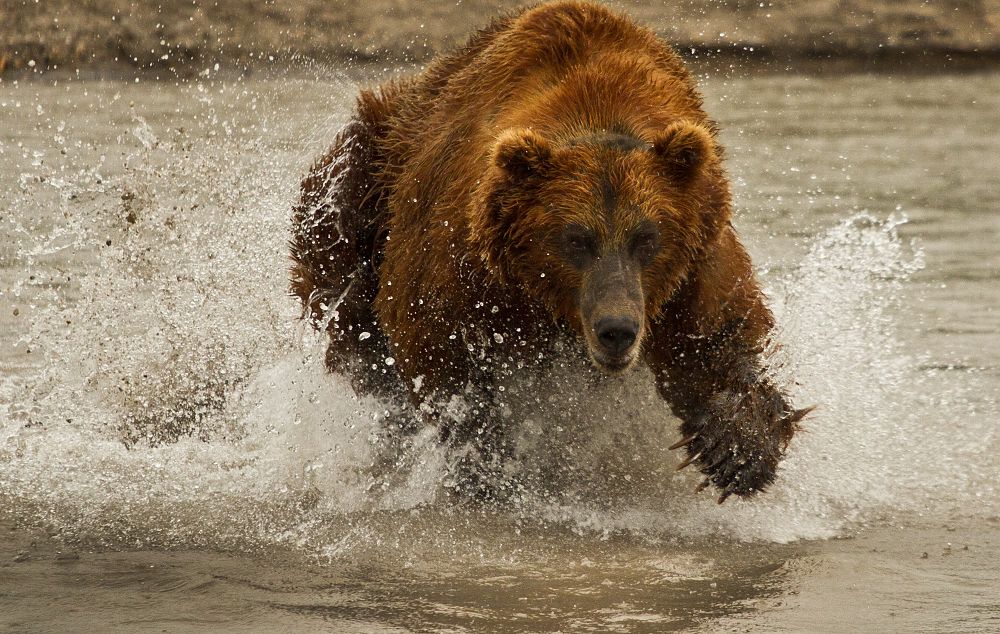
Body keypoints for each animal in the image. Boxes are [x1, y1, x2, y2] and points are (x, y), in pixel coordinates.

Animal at [290, 0, 811, 503]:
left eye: (647, 237)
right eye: (576, 238)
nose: (617, 330)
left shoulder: (691, 257)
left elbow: (715, 340)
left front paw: (737, 450)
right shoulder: (467, 257)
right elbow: (434, 344)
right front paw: (486, 461)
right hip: (362, 187)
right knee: (348, 305)